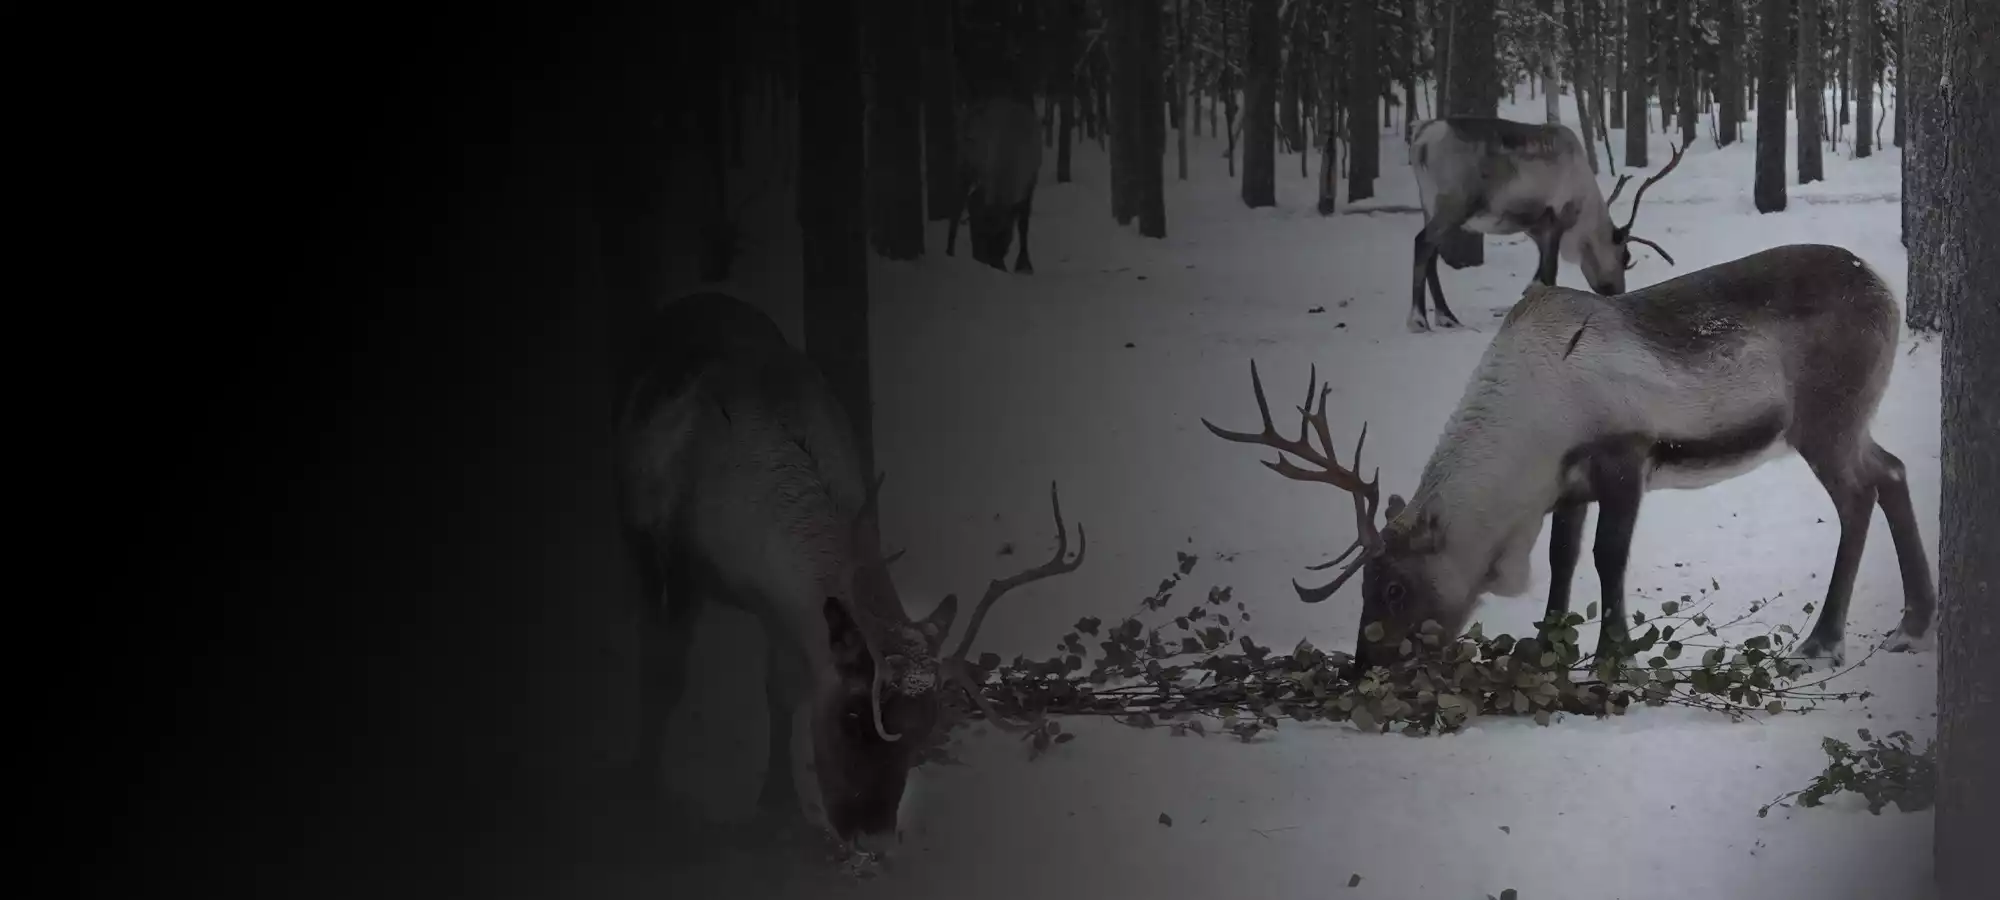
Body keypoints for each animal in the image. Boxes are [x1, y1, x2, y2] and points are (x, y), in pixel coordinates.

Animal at [615, 291, 1084, 858]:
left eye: (923, 734)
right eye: (855, 716)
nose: (873, 834)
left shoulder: (778, 609)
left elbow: (782, 689)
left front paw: (777, 803)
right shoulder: (669, 553)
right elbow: (664, 674)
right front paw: (643, 787)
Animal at [946, 95, 1043, 274]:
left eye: (1003, 236)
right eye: (978, 234)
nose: (984, 260)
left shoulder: (1030, 182)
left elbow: (1023, 225)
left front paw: (1024, 265)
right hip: (963, 166)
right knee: (956, 207)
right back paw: (949, 250)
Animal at [1203, 244, 1937, 677]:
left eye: (1394, 588)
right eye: (1364, 586)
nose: (1364, 668)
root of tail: (1886, 288)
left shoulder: (1624, 456)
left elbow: (1608, 557)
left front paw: (1614, 656)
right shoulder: (1567, 487)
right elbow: (1561, 560)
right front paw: (1547, 647)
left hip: (1824, 421)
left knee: (1858, 497)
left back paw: (1823, 642)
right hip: (1848, 423)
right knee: (1893, 471)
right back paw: (1913, 622)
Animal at [1405, 117, 1686, 334]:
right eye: (1625, 256)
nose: (1617, 291)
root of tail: (1422, 139)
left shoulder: (1536, 229)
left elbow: (1538, 277)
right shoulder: (1555, 220)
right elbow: (1549, 274)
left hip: (1427, 204)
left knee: (1431, 254)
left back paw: (1446, 317)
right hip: (1453, 205)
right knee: (1422, 242)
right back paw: (1418, 320)